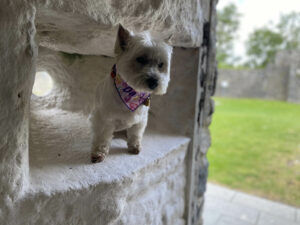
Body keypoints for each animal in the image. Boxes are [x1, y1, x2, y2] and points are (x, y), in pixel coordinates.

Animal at [90, 24, 172, 163]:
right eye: (141, 59)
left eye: (161, 64)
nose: (154, 82)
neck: (132, 94)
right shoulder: (104, 119)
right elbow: (102, 138)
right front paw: (98, 153)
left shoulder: (141, 120)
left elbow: (135, 134)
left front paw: (134, 147)